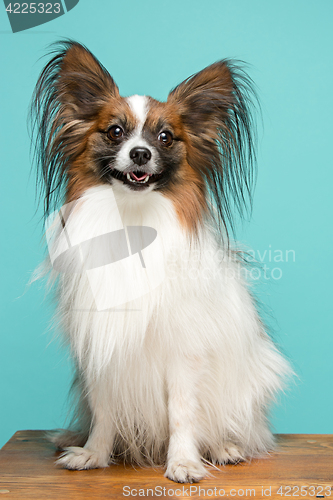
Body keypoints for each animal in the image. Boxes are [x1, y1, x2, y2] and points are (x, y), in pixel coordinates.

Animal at [31, 41, 290, 482]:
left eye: (166, 137)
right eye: (115, 132)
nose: (140, 153)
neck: (133, 218)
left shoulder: (184, 351)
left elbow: (181, 412)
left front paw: (183, 462)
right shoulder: (103, 347)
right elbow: (104, 410)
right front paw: (94, 454)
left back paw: (225, 447)